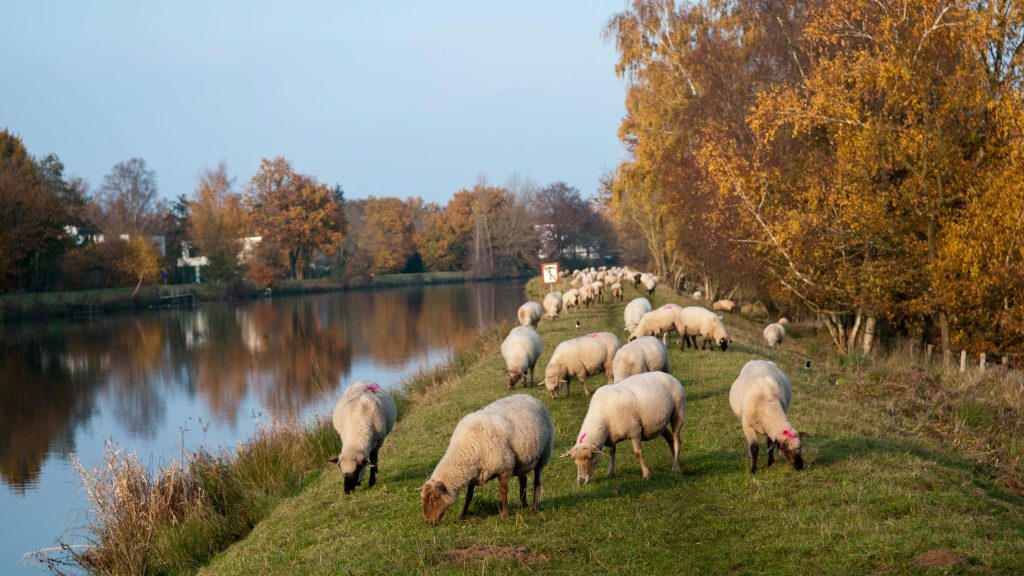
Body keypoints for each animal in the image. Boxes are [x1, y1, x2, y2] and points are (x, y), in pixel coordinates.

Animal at [421, 394, 554, 525]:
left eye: (433, 499)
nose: (428, 522)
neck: (466, 448)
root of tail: (532, 398)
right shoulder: (474, 475)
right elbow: (469, 496)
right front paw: (462, 515)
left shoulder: (505, 467)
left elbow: (503, 490)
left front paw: (505, 514)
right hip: (522, 461)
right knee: (523, 479)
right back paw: (522, 504)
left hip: (544, 454)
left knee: (537, 481)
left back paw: (533, 508)